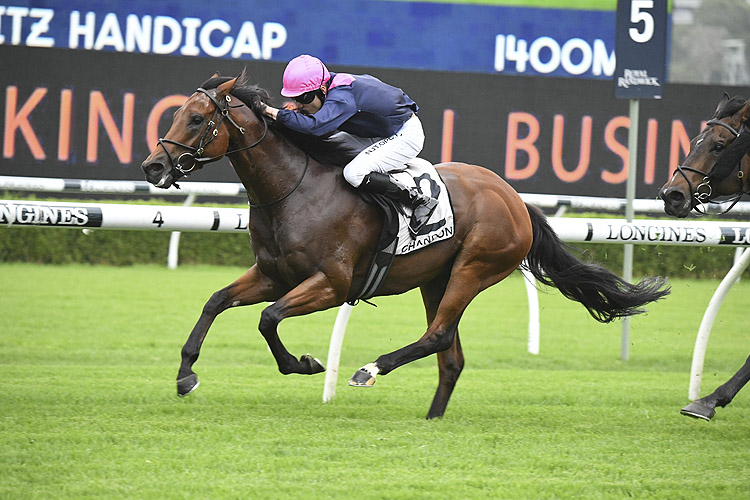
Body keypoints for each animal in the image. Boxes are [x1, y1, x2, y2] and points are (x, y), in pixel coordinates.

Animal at [144, 73, 672, 418]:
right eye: (176, 114)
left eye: (196, 119)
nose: (153, 166)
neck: (295, 190)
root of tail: (516, 200)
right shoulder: (273, 275)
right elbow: (216, 302)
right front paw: (185, 374)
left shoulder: (332, 284)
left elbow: (268, 319)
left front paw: (303, 364)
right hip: (436, 279)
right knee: (451, 355)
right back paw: (431, 418)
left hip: (475, 268)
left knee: (437, 337)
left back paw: (370, 369)